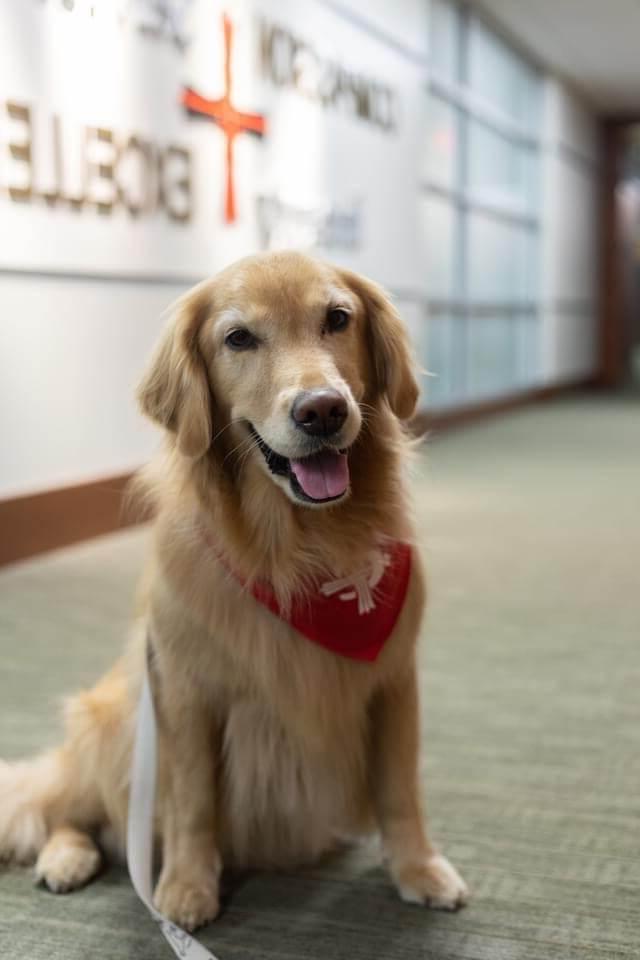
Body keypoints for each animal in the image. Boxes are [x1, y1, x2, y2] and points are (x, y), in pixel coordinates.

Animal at [0, 251, 470, 928]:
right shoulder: (186, 693)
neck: (298, 553)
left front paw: (419, 868)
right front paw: (186, 887)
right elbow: (194, 801)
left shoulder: (392, 680)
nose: (322, 410)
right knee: (71, 808)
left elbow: (399, 787)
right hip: (109, 719)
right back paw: (67, 857)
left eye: (338, 318)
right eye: (239, 338)